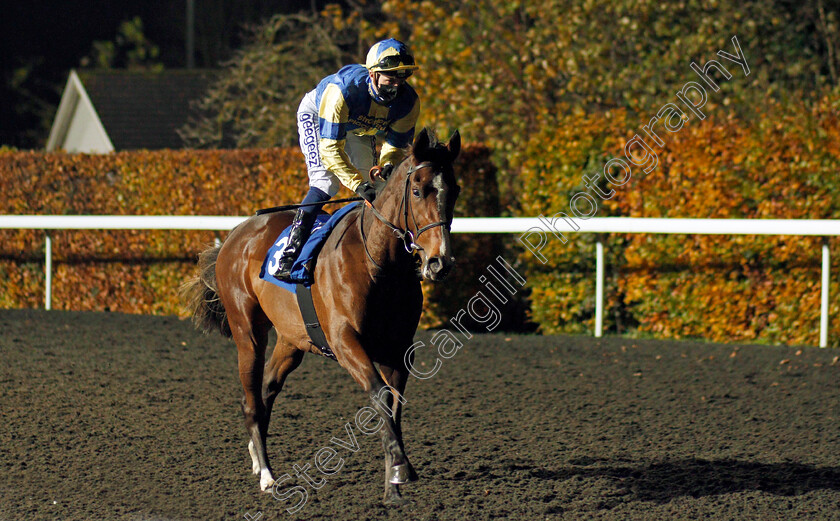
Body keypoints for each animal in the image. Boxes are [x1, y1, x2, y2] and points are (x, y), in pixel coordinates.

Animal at [181, 127, 462, 504]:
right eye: (417, 190)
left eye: (455, 191)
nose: (439, 262)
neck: (379, 264)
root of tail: (235, 235)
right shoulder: (345, 341)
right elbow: (380, 395)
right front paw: (400, 470)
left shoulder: (399, 349)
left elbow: (394, 403)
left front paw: (395, 479)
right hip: (248, 332)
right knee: (251, 399)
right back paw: (267, 475)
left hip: (291, 340)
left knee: (266, 390)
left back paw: (257, 456)